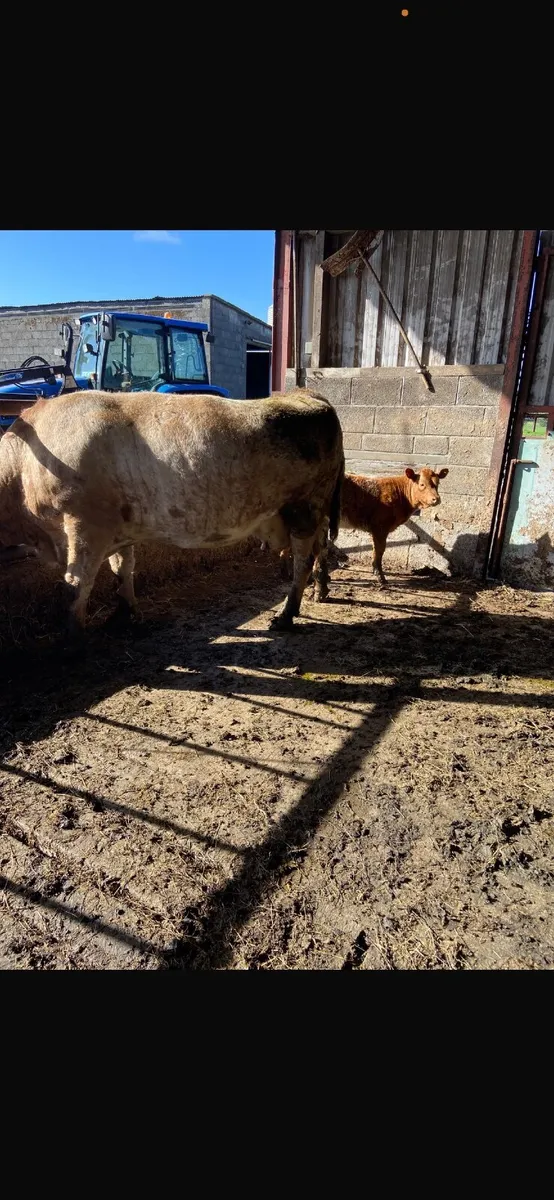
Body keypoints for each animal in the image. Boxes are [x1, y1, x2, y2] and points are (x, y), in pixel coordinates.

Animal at [0, 388, 344, 637]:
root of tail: (304, 394)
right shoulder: (119, 529)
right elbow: (123, 569)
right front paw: (124, 614)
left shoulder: (86, 526)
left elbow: (78, 582)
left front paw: (72, 635)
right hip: (312, 512)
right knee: (322, 549)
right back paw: (320, 590)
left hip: (305, 507)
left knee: (302, 560)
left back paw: (286, 615)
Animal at [275, 466, 449, 589]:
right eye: (422, 484)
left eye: (438, 484)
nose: (436, 499)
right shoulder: (380, 528)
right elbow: (379, 552)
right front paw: (381, 578)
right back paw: (287, 573)